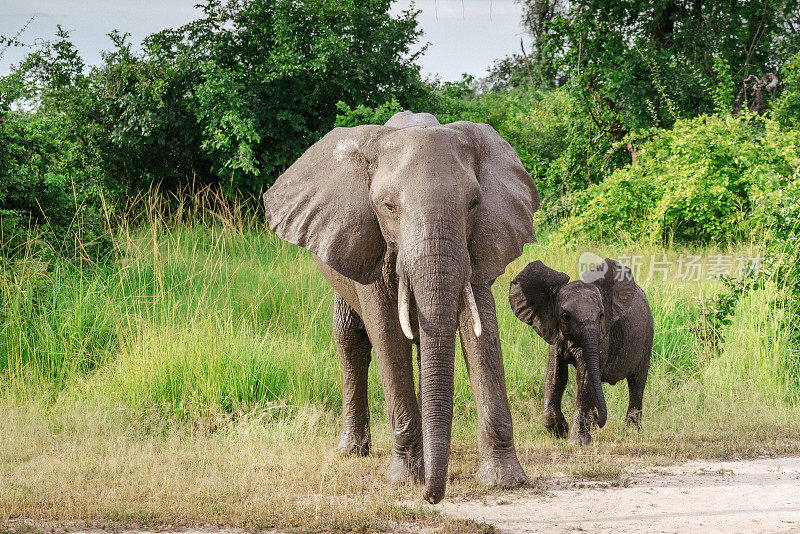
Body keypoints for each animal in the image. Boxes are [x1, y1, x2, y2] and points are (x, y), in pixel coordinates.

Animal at [266, 111, 540, 504]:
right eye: (388, 206)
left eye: (474, 203)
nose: (432, 497)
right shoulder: (368, 241)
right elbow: (386, 334)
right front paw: (405, 480)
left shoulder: (477, 244)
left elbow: (480, 330)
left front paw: (505, 481)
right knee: (349, 339)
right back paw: (353, 451)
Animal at [510, 262, 652, 446]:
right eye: (566, 317)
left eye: (601, 316)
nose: (599, 422)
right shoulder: (556, 337)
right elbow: (555, 376)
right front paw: (560, 433)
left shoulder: (602, 337)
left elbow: (584, 377)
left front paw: (577, 441)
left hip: (648, 334)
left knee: (637, 382)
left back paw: (630, 431)